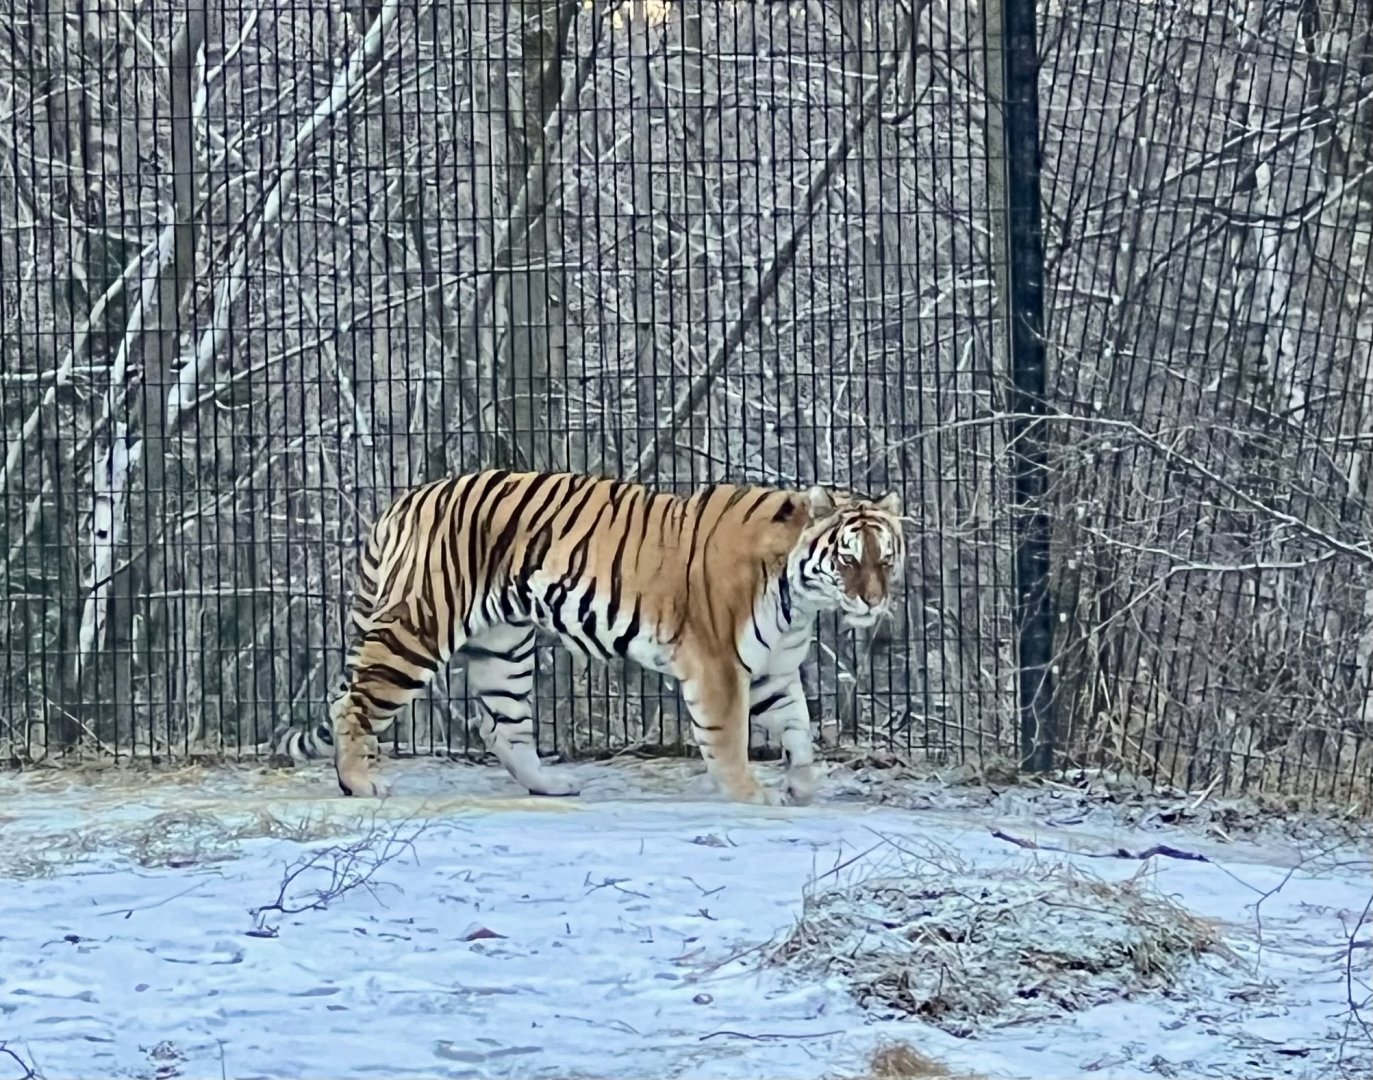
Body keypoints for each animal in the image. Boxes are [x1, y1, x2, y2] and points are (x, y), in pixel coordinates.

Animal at [274, 469, 905, 806]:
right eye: (849, 559)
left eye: (886, 558)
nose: (873, 602)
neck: (799, 599)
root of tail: (403, 502)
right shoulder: (719, 666)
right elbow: (728, 738)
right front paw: (750, 793)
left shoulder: (773, 669)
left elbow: (801, 731)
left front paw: (801, 786)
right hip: (418, 628)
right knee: (352, 704)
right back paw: (359, 785)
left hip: (503, 646)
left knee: (502, 727)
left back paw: (551, 784)